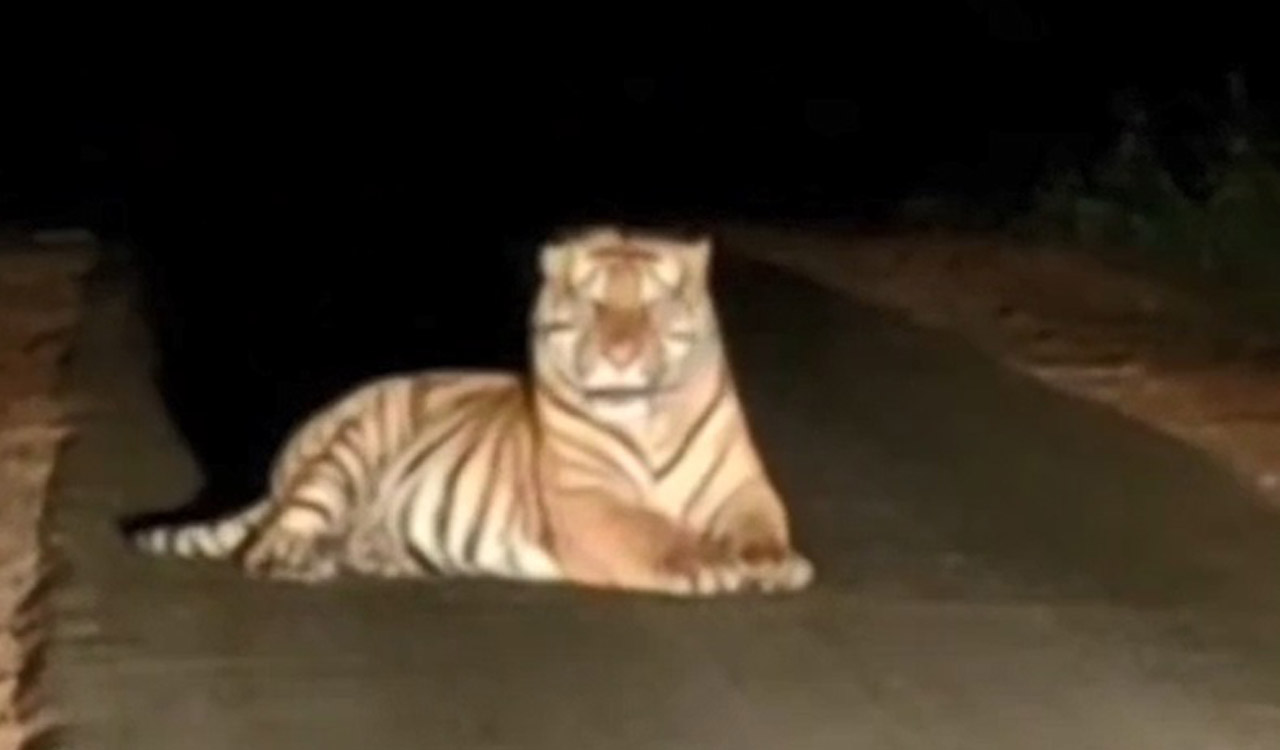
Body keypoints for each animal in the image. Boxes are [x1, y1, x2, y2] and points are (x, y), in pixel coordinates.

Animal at [128, 224, 814, 596]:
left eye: (652, 306)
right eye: (594, 305)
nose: (619, 353)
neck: (645, 421)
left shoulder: (744, 487)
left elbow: (762, 525)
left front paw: (774, 564)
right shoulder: (590, 502)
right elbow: (650, 531)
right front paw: (709, 565)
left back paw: (372, 556)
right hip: (345, 450)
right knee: (277, 533)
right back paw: (294, 561)